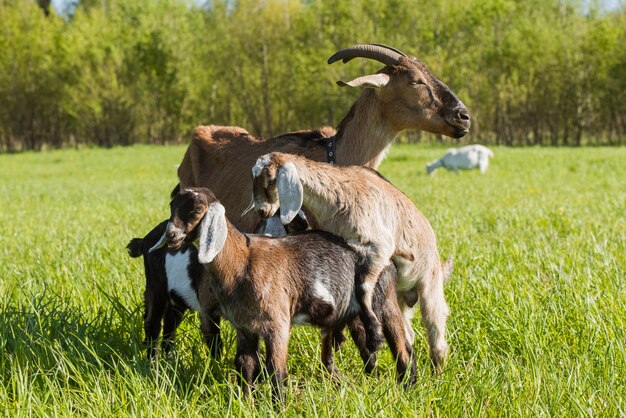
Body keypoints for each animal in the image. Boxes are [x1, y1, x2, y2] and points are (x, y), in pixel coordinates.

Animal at [160, 188, 414, 400]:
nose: (171, 235)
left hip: (382, 301)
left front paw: (278, 405)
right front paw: (245, 402)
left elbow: (276, 370)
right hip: (353, 314)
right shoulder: (244, 326)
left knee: (401, 345)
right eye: (172, 206)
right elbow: (245, 364)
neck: (242, 263)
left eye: (197, 210)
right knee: (363, 349)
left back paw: (406, 387)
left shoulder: (278, 324)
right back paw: (370, 381)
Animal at [251, 152, 450, 370]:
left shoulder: (379, 247)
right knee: (408, 333)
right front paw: (340, 334)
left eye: (270, 180)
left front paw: (373, 336)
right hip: (400, 297)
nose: (261, 211)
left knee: (436, 328)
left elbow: (362, 287)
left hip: (430, 284)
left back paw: (437, 370)